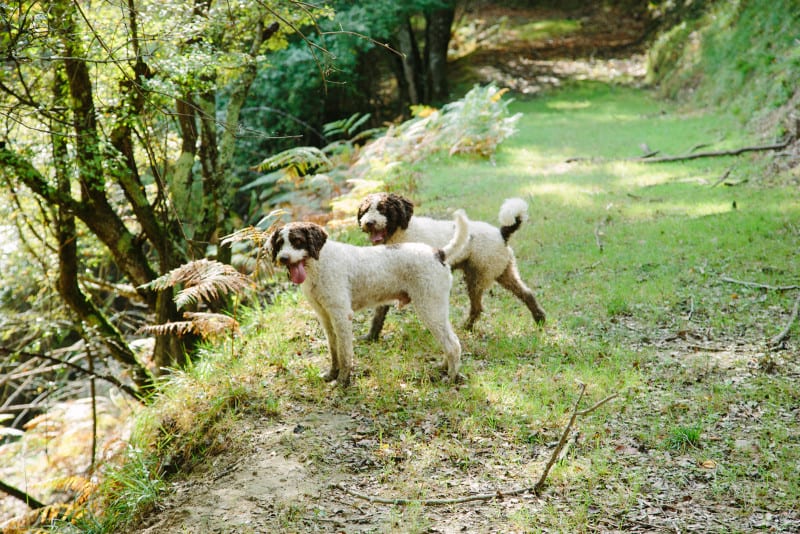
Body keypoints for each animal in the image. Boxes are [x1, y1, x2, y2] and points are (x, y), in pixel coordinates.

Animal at [270, 210, 468, 390]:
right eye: (279, 244)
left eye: (297, 241)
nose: (283, 258)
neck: (319, 263)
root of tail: (439, 253)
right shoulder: (325, 317)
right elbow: (333, 350)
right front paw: (332, 374)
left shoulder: (342, 316)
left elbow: (344, 353)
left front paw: (342, 381)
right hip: (436, 309)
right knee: (450, 341)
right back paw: (444, 367)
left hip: (430, 308)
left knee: (453, 344)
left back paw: (451, 377)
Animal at [360, 195, 548, 342]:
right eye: (365, 210)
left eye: (383, 209)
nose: (368, 223)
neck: (402, 232)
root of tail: (502, 233)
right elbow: (379, 313)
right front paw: (371, 337)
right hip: (503, 272)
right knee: (526, 294)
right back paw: (539, 319)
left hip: (478, 277)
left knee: (477, 308)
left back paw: (466, 327)